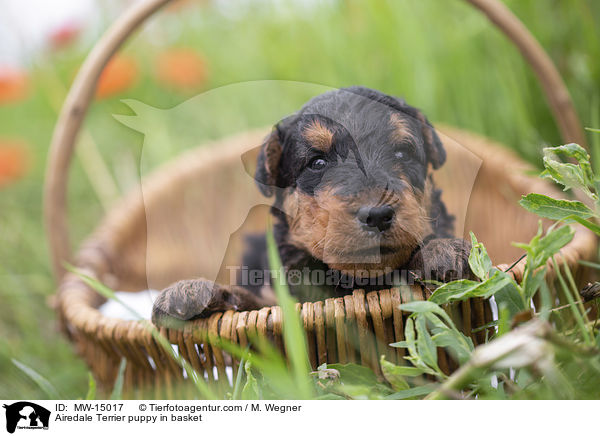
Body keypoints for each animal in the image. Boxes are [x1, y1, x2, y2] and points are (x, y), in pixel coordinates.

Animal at [152, 86, 472, 324]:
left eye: (402, 153)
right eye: (317, 162)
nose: (378, 215)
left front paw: (443, 250)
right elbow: (253, 304)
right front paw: (190, 292)